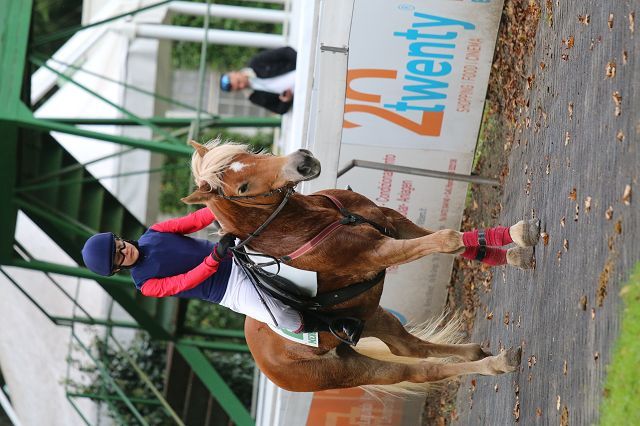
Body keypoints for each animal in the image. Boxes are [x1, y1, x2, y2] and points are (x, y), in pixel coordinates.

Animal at [182, 140, 539, 392]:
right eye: (241, 188)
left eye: (248, 152)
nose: (302, 162)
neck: (303, 222)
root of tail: (266, 362)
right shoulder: (379, 252)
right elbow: (448, 240)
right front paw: (519, 240)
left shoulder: (393, 223)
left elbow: (458, 244)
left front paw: (516, 246)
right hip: (347, 371)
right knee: (418, 369)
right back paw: (496, 364)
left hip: (370, 315)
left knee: (408, 346)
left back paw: (476, 353)